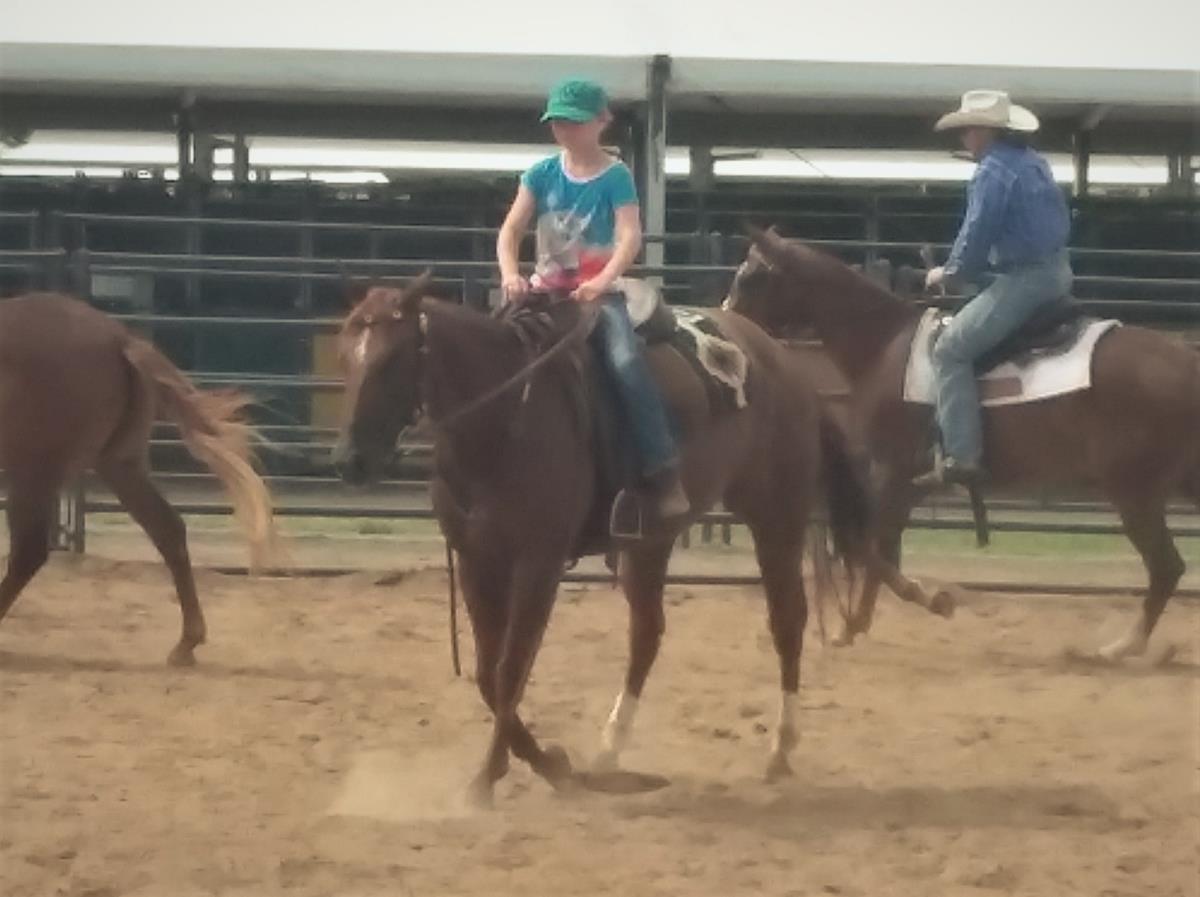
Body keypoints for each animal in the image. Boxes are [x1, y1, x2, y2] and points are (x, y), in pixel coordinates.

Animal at [0, 293, 280, 665]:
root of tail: (120, 337)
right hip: (119, 465)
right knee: (167, 528)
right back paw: (186, 643)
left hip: (34, 470)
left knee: (27, 552)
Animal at [333, 273, 941, 806]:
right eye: (346, 358)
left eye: (390, 360)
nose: (349, 461)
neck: (505, 420)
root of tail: (786, 363)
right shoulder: (477, 559)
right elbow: (489, 673)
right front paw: (545, 766)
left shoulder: (539, 561)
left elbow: (509, 670)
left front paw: (499, 776)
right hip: (651, 539)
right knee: (647, 634)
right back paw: (608, 752)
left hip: (776, 515)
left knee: (786, 620)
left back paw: (780, 748)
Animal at [726, 228, 1200, 661]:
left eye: (751, 277)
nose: (727, 322)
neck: (883, 345)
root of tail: (1186, 361)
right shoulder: (909, 482)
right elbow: (881, 548)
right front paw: (859, 623)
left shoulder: (892, 473)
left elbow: (872, 548)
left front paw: (903, 609)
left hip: (1135, 494)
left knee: (1166, 568)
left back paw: (1122, 647)